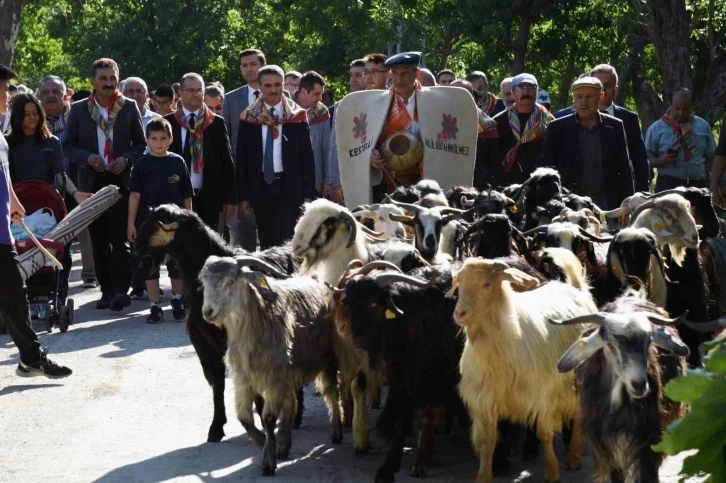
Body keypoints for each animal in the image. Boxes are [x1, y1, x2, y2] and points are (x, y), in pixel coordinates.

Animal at [200, 258, 346, 476]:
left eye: (230, 282)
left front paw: (268, 460)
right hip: (289, 373)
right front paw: (263, 442)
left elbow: (268, 418)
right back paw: (284, 444)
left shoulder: (273, 378)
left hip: (327, 358)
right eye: (204, 281)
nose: (207, 312)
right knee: (292, 402)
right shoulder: (244, 379)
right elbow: (244, 418)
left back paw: (336, 432)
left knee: (331, 392)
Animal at [452, 260, 600, 483]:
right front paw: (484, 476)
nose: (459, 314)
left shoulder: (542, 394)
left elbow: (543, 434)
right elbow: (488, 443)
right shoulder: (485, 399)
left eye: (487, 284)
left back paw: (574, 455)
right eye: (459, 283)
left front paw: (551, 471)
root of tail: (576, 289)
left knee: (580, 413)